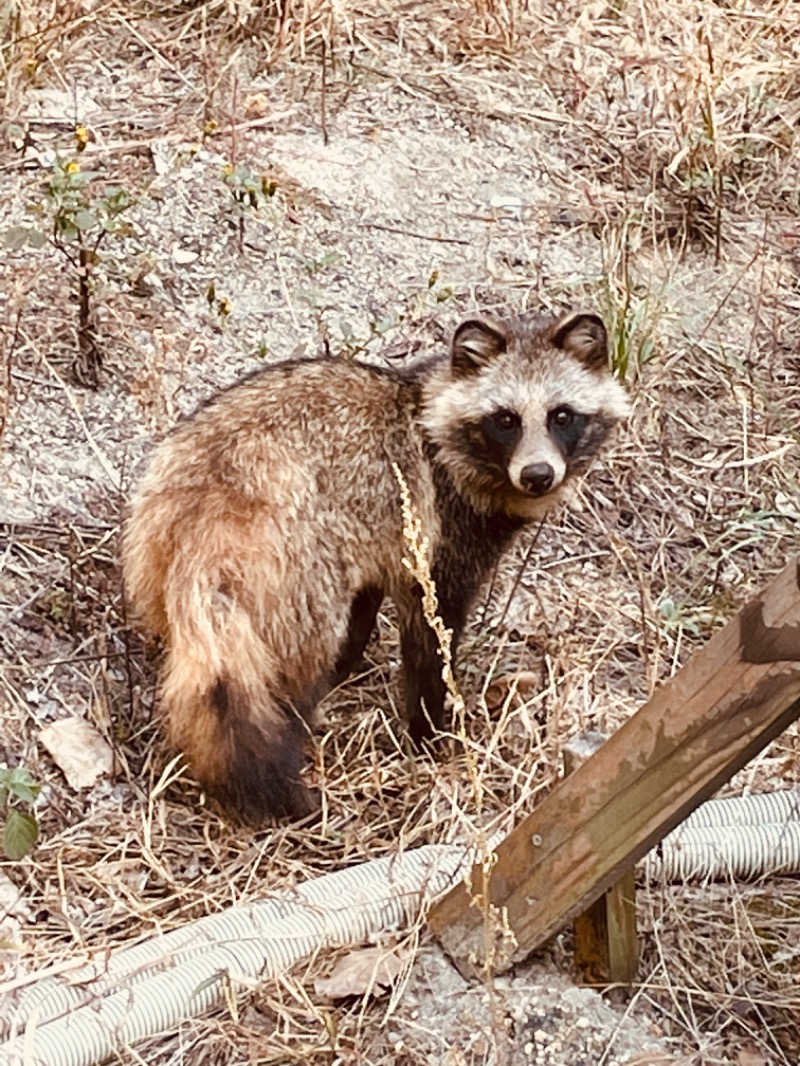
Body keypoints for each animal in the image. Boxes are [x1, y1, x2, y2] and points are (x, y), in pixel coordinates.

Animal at [122, 311, 631, 818]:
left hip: (154, 537)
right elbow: (431, 633)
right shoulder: (436, 531)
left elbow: (365, 601)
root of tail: (211, 501)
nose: (538, 475)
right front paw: (429, 732)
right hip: (296, 565)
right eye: (505, 420)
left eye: (561, 415)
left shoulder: (373, 535)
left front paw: (351, 664)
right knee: (293, 664)